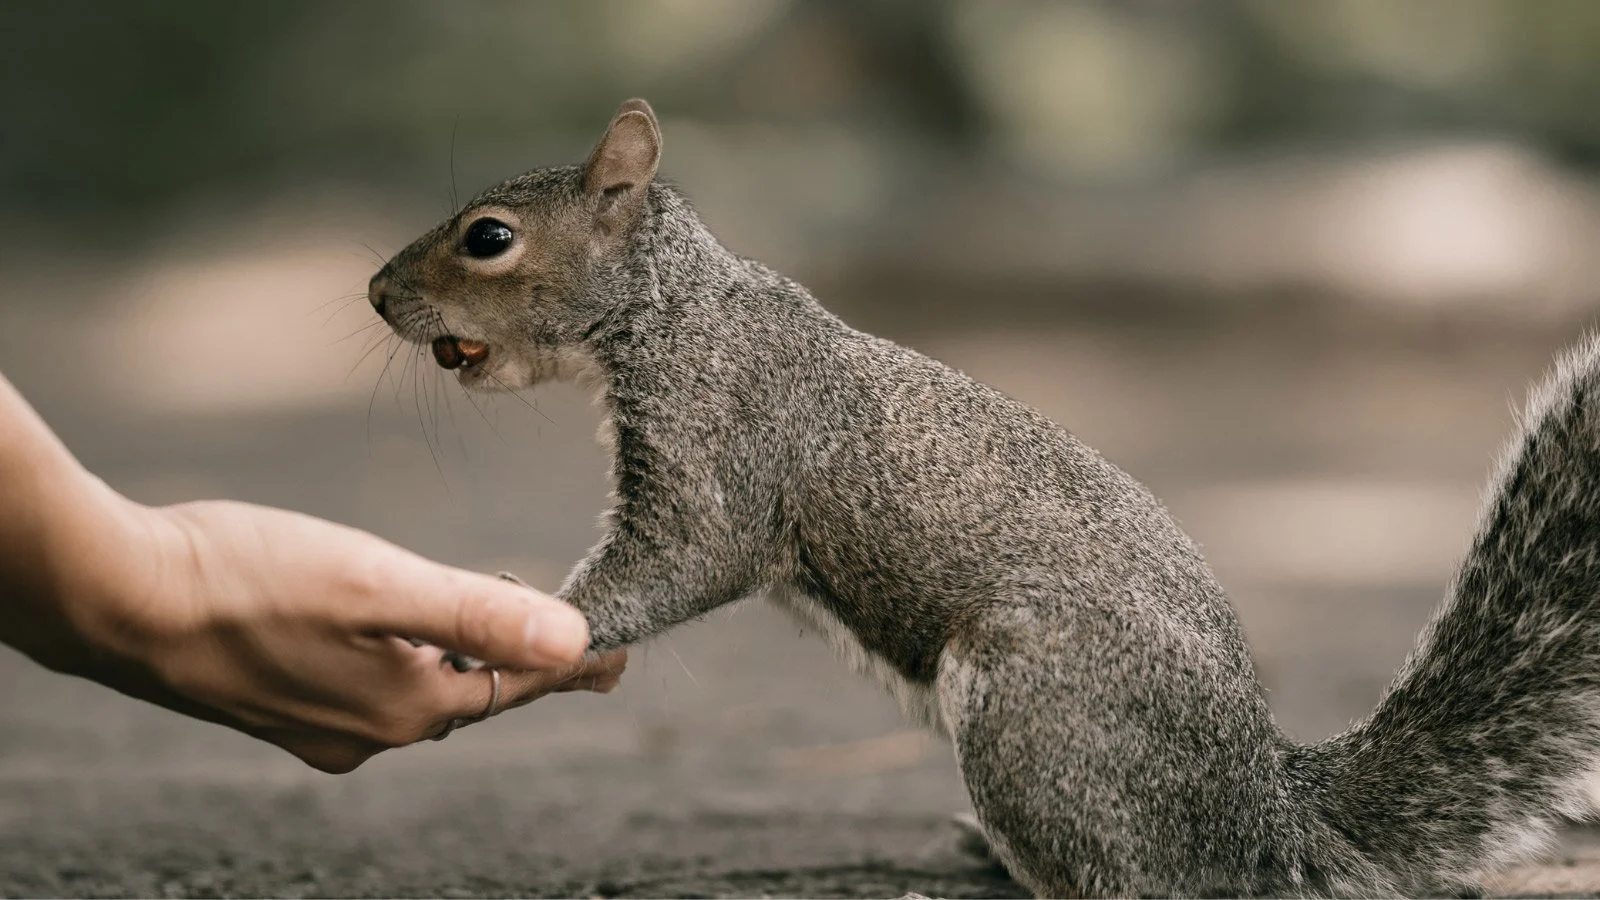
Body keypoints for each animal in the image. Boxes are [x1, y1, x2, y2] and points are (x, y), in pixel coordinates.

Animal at [369, 98, 1600, 898]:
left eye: (488, 238)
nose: (376, 292)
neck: (678, 308)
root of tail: (1262, 813)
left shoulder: (723, 444)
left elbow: (686, 557)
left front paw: (536, 623)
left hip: (1033, 707)